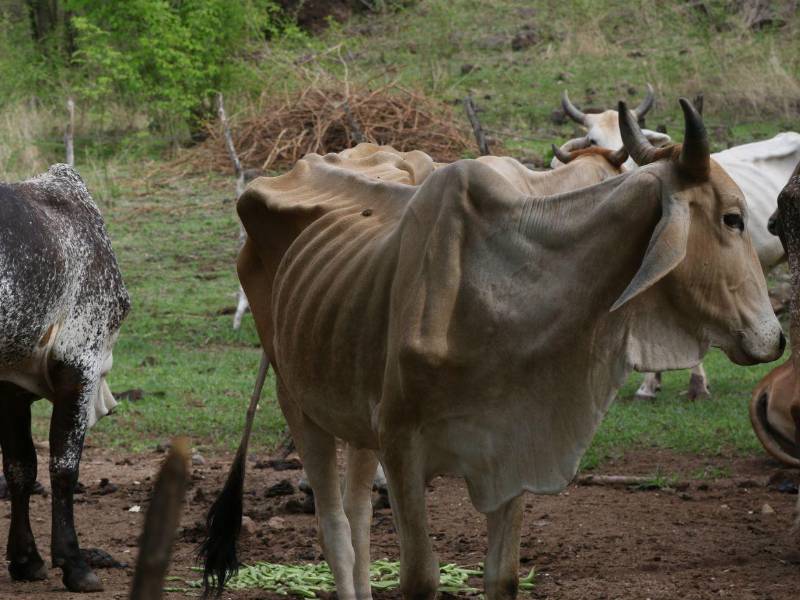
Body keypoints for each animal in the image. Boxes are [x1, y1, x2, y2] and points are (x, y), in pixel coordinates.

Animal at [0, 165, 130, 592]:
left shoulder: (10, 386)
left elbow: (21, 467)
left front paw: (26, 560)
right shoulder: (81, 362)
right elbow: (64, 466)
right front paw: (74, 563)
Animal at [200, 98, 783, 600]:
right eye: (733, 218)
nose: (775, 337)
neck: (511, 286)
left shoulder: (514, 441)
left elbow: (502, 576)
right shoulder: (402, 445)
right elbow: (420, 577)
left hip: (355, 408)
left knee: (359, 516)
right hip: (298, 399)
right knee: (335, 530)